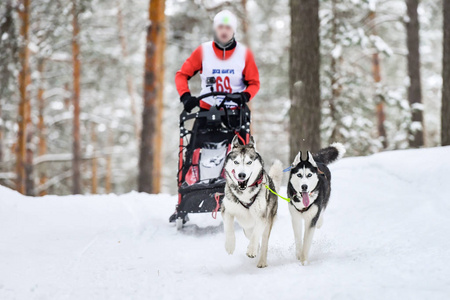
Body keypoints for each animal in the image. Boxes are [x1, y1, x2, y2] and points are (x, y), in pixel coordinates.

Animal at [221, 135, 282, 268]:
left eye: (249, 162)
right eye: (236, 162)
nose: (242, 175)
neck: (244, 195)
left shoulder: (262, 217)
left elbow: (256, 234)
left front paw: (252, 250)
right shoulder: (226, 210)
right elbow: (229, 227)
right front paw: (230, 245)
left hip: (267, 222)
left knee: (263, 241)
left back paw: (261, 261)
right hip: (246, 225)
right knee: (250, 233)